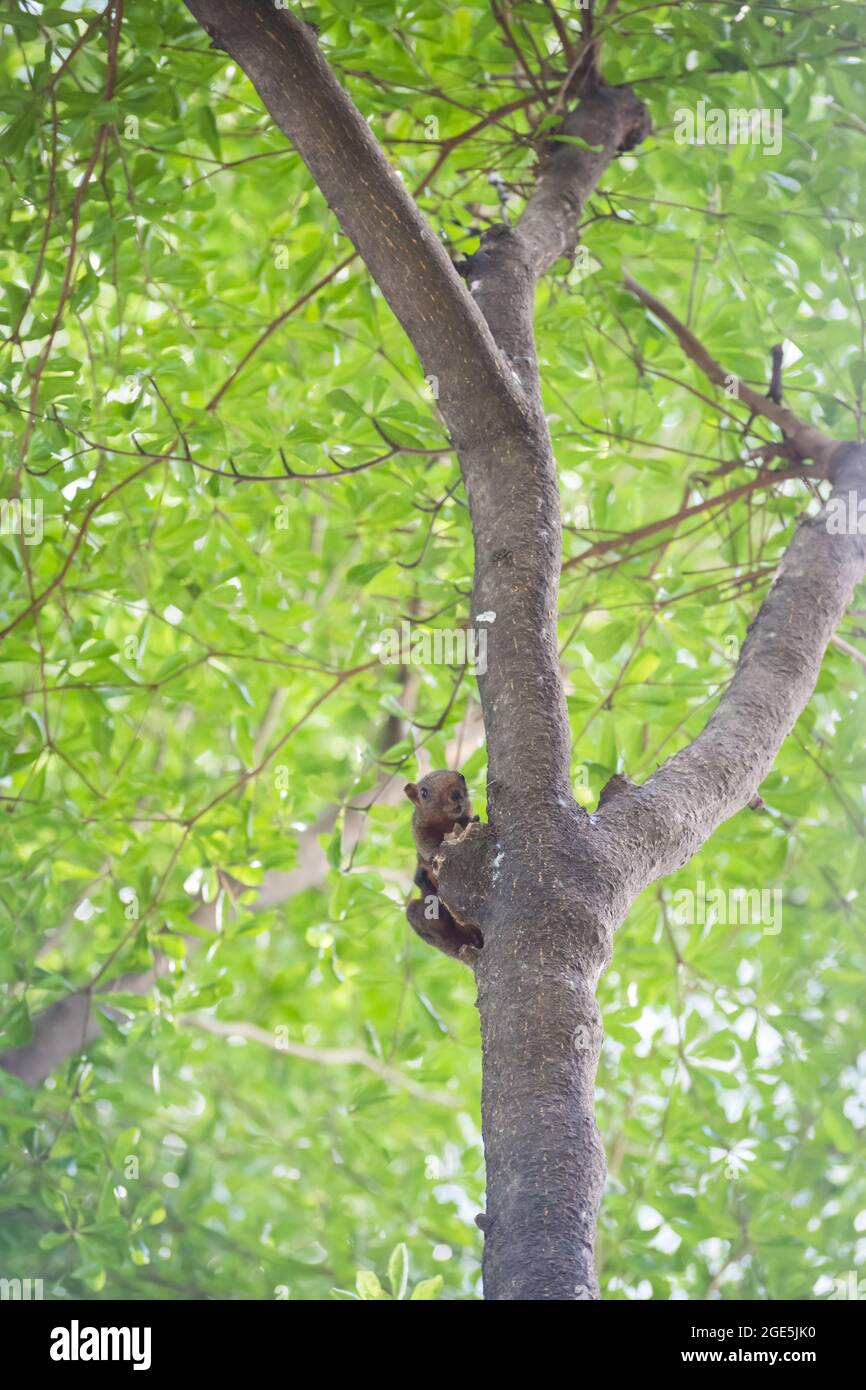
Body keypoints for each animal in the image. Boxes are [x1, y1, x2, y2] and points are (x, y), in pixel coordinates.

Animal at [404, 770, 483, 956]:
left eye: (461, 776)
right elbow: (426, 847)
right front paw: (433, 855)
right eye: (423, 792)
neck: (445, 821)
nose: (455, 794)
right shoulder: (420, 831)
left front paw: (474, 820)